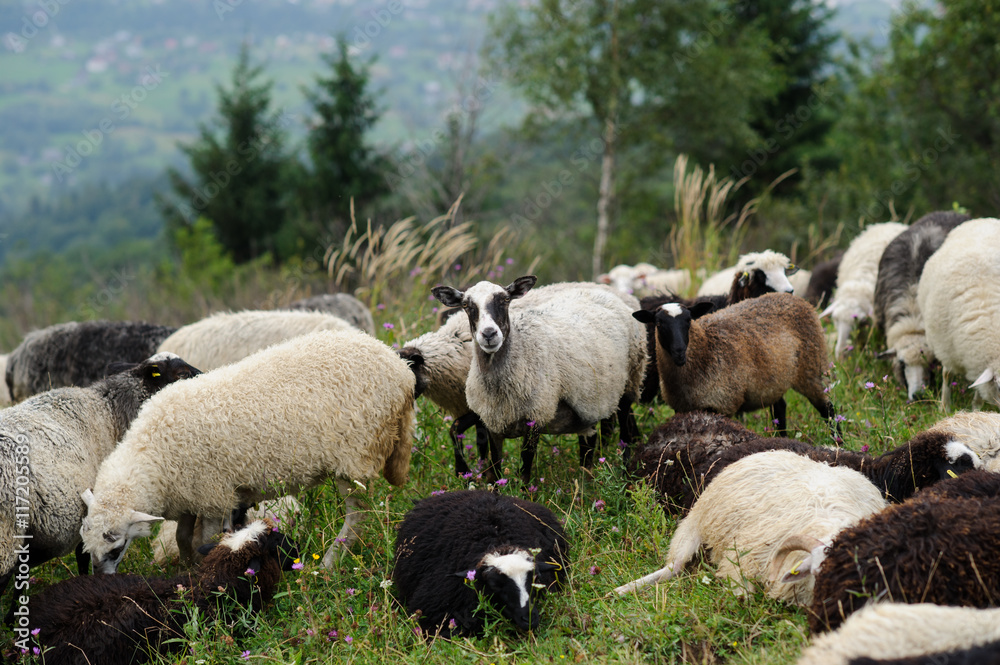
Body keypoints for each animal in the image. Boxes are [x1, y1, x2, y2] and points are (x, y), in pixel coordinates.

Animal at [79, 328, 416, 572]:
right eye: (86, 547)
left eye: (116, 549)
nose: (101, 579)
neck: (151, 453)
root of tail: (399, 367)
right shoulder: (189, 494)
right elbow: (182, 538)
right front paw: (186, 568)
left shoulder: (214, 494)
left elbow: (203, 539)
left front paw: (200, 568)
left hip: (355, 456)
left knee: (358, 518)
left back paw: (329, 563)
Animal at [431, 276, 647, 482]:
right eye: (466, 305)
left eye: (505, 300)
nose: (489, 334)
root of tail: (605, 293)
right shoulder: (492, 422)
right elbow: (495, 471)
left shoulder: (535, 417)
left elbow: (525, 473)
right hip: (593, 402)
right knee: (592, 443)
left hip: (631, 379)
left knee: (625, 433)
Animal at [614, 450, 889, 606]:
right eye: (818, 570)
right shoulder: (740, 559)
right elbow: (743, 598)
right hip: (695, 523)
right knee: (673, 568)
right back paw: (621, 590)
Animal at [632, 292, 837, 436]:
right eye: (658, 323)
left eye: (689, 320)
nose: (679, 352)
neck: (705, 348)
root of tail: (796, 299)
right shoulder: (681, 408)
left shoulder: (724, 404)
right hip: (773, 378)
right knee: (780, 408)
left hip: (813, 366)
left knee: (828, 409)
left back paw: (838, 440)